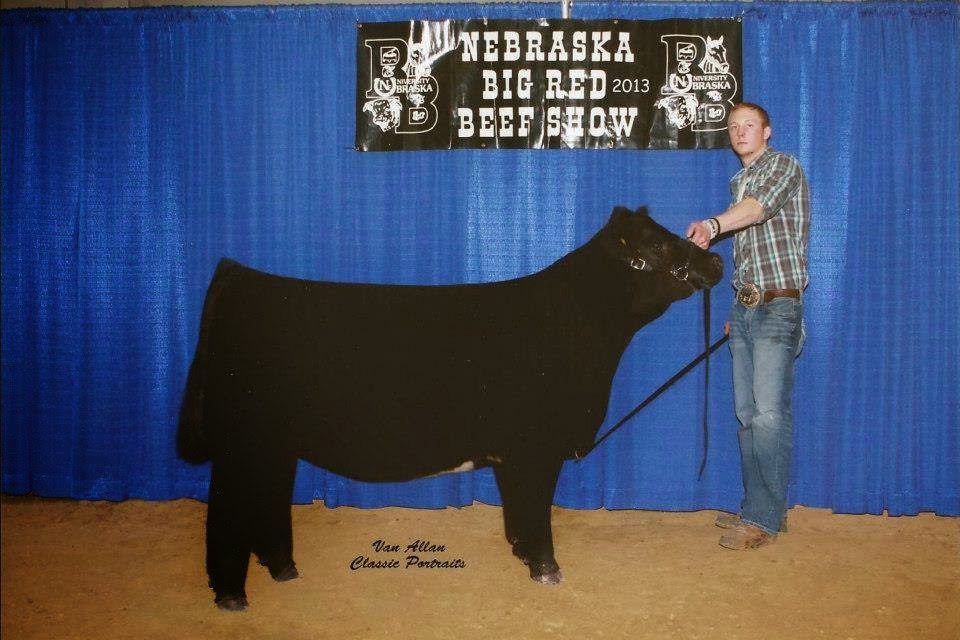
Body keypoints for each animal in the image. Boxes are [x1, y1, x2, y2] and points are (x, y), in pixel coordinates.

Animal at [176, 206, 723, 611]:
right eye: (657, 244)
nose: (715, 263)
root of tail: (239, 276)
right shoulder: (535, 447)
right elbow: (537, 507)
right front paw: (547, 570)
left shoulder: (514, 455)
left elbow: (519, 508)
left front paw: (521, 552)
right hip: (242, 443)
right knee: (227, 513)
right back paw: (231, 596)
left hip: (274, 446)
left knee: (266, 503)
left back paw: (284, 569)